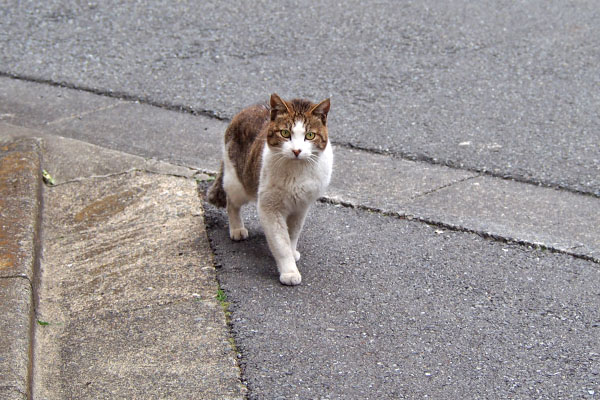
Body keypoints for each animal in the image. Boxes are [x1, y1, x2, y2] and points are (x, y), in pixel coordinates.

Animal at [207, 93, 332, 288]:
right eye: (285, 133)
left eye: (310, 135)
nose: (297, 150)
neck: (297, 173)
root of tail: (246, 109)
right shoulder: (269, 208)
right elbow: (281, 243)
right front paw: (289, 271)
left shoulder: (301, 208)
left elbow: (292, 235)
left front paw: (293, 251)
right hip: (238, 183)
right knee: (231, 202)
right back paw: (237, 229)